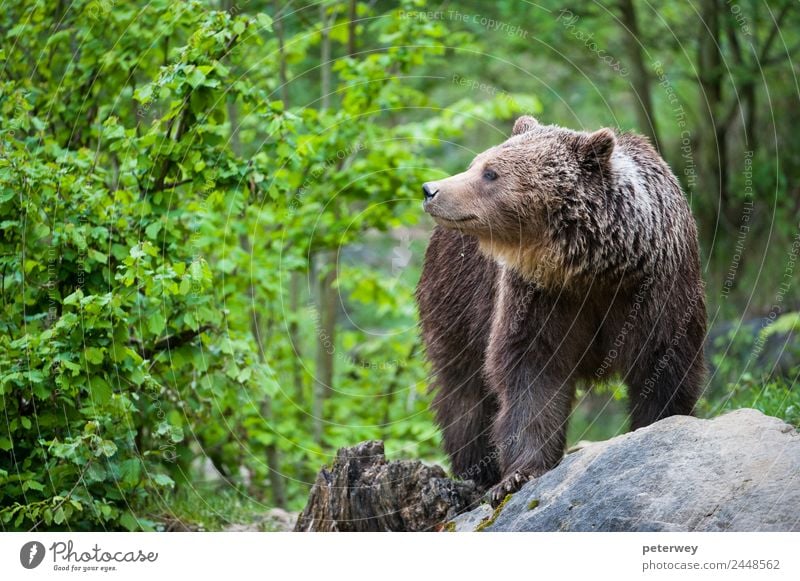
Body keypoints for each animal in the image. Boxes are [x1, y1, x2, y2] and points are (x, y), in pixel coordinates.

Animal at [418, 115, 708, 506]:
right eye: (477, 163)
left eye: (490, 172)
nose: (430, 189)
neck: (595, 269)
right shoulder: (539, 297)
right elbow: (532, 372)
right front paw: (516, 476)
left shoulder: (657, 287)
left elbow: (663, 362)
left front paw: (659, 426)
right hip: (456, 302)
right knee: (465, 392)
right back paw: (475, 472)